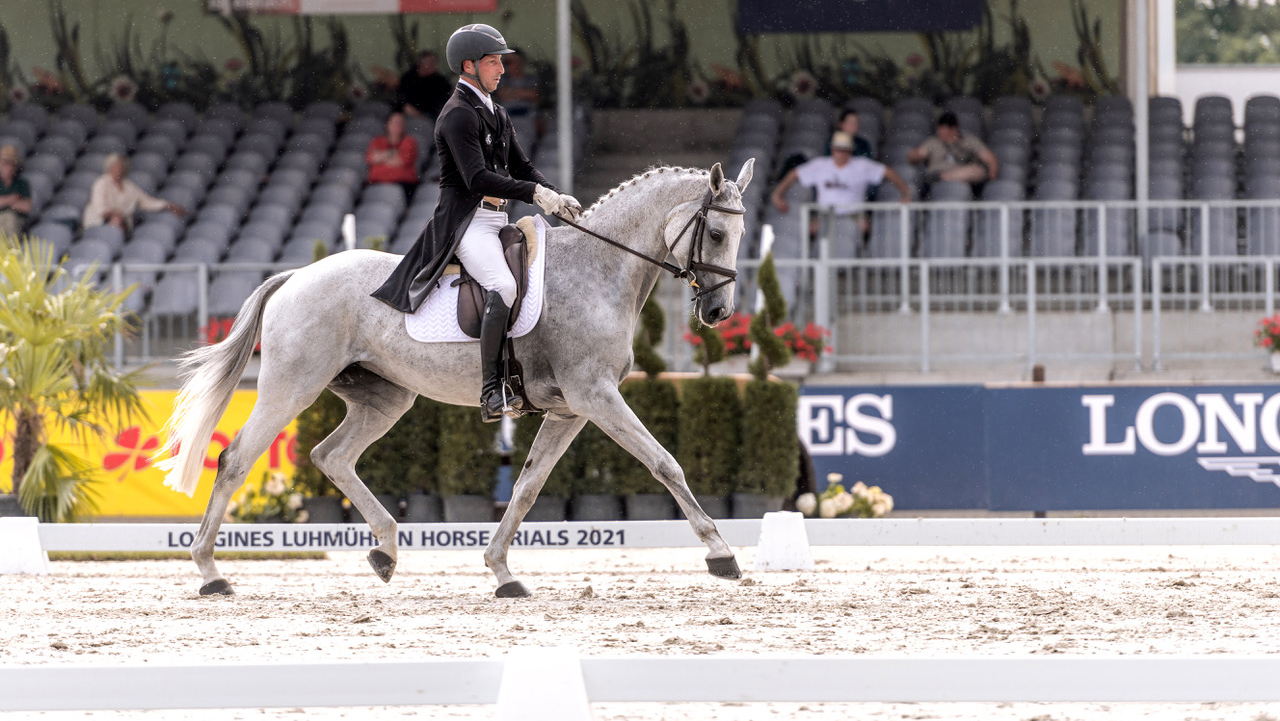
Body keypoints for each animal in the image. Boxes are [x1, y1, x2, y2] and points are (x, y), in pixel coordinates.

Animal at [154, 158, 752, 599]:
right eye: (716, 232)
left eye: (740, 234)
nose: (719, 312)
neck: (599, 270)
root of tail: (296, 275)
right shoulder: (596, 395)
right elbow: (665, 463)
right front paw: (721, 553)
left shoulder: (570, 409)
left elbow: (528, 487)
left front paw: (502, 572)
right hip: (291, 387)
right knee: (236, 459)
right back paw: (211, 574)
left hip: (384, 398)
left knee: (332, 456)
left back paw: (385, 551)